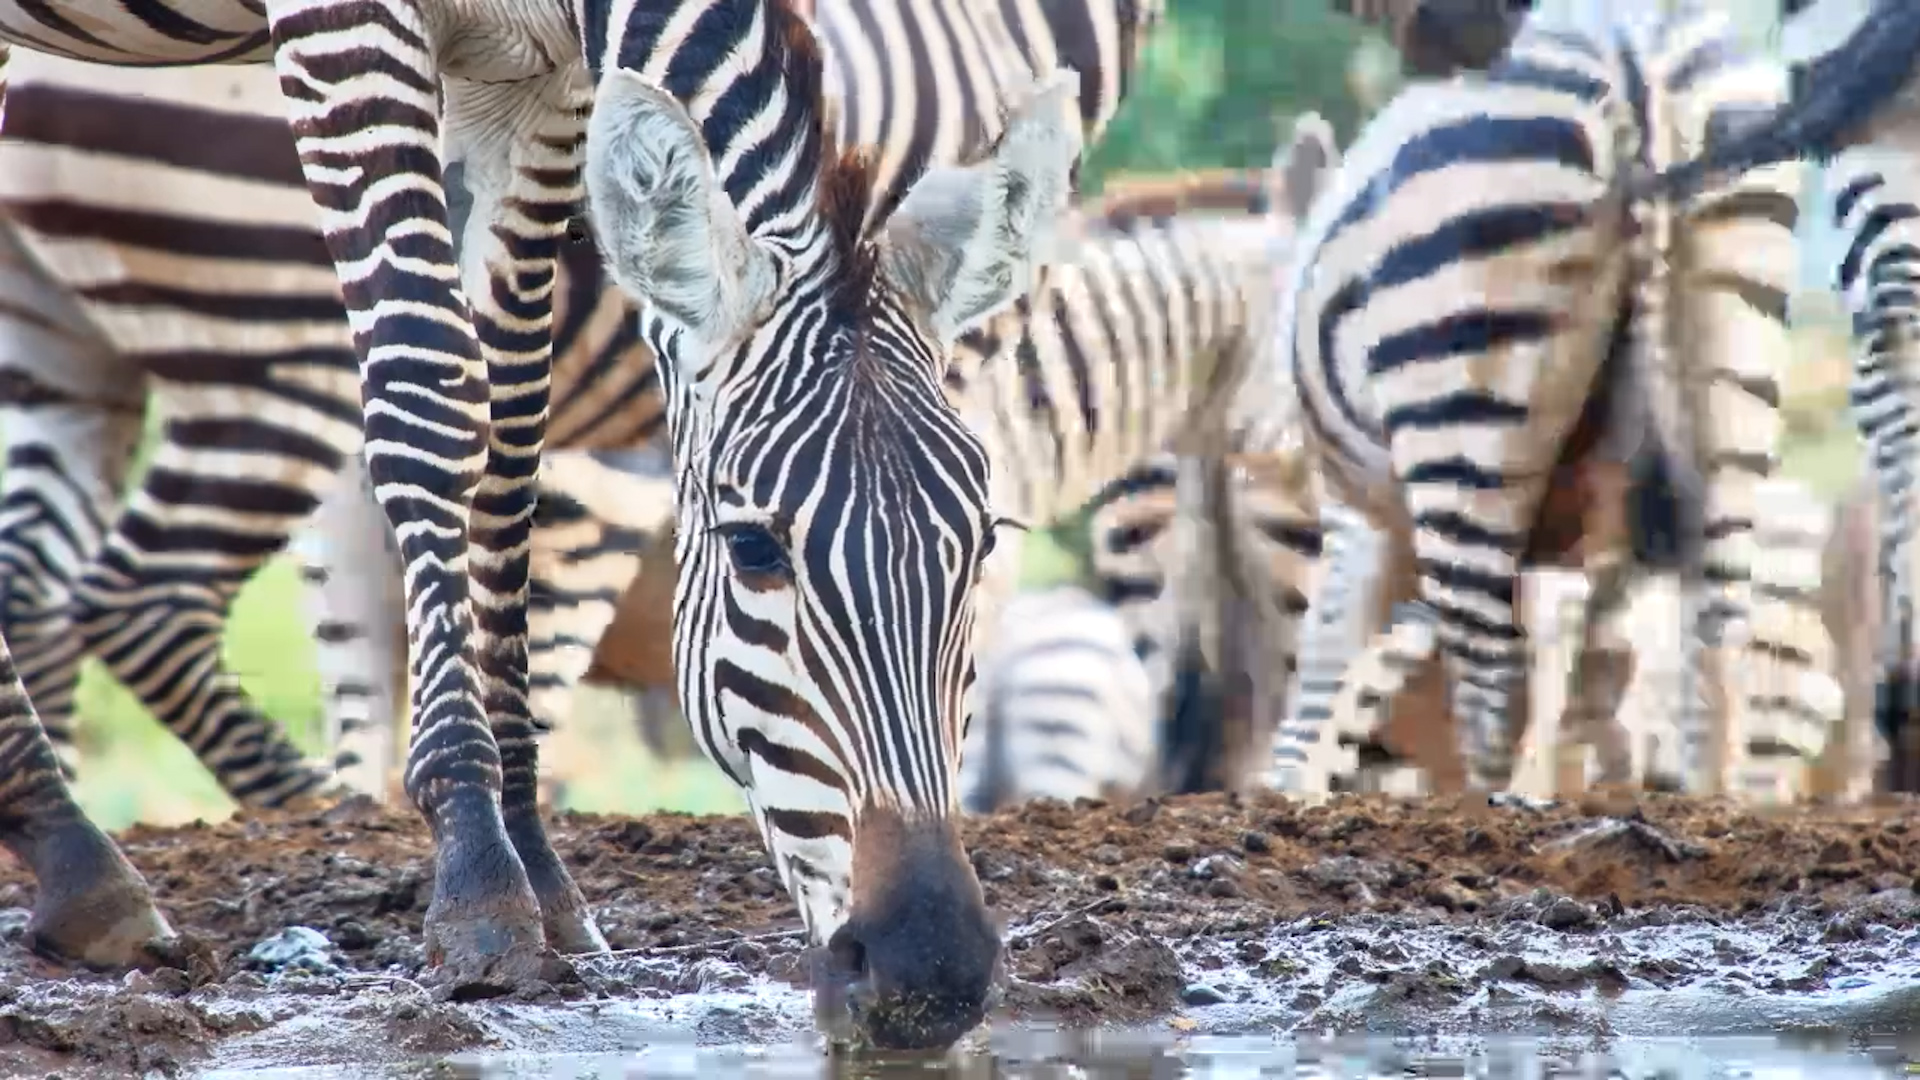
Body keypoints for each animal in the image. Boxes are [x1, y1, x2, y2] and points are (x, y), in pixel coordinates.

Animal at [0, 0, 1084, 1043]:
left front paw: (534, 859)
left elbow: (515, 424)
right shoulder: (342, 25)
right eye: (752, 548)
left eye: (985, 543)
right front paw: (479, 878)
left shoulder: (538, 75)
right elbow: (434, 387)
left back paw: (66, 857)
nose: (933, 972)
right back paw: (82, 858)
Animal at [1273, 1, 1805, 798]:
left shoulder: (1355, 514)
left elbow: (1326, 673)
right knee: (1718, 627)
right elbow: (1586, 675)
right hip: (1731, 358)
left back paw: (1482, 809)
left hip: (1462, 399)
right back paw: (1710, 800)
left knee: (1488, 674)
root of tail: (1630, 59)